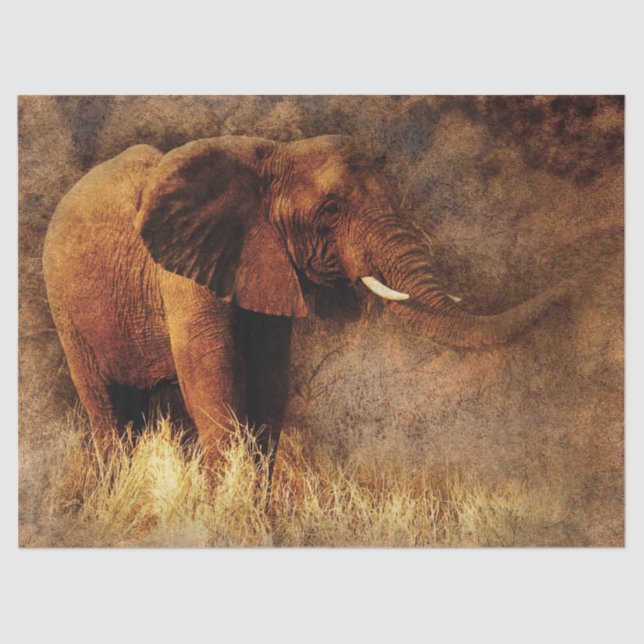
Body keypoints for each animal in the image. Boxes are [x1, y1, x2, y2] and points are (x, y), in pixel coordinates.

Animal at [43, 134, 570, 466]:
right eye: (331, 211)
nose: (572, 283)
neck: (271, 154)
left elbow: (269, 384)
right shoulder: (180, 270)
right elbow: (215, 380)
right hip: (64, 304)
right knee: (109, 410)